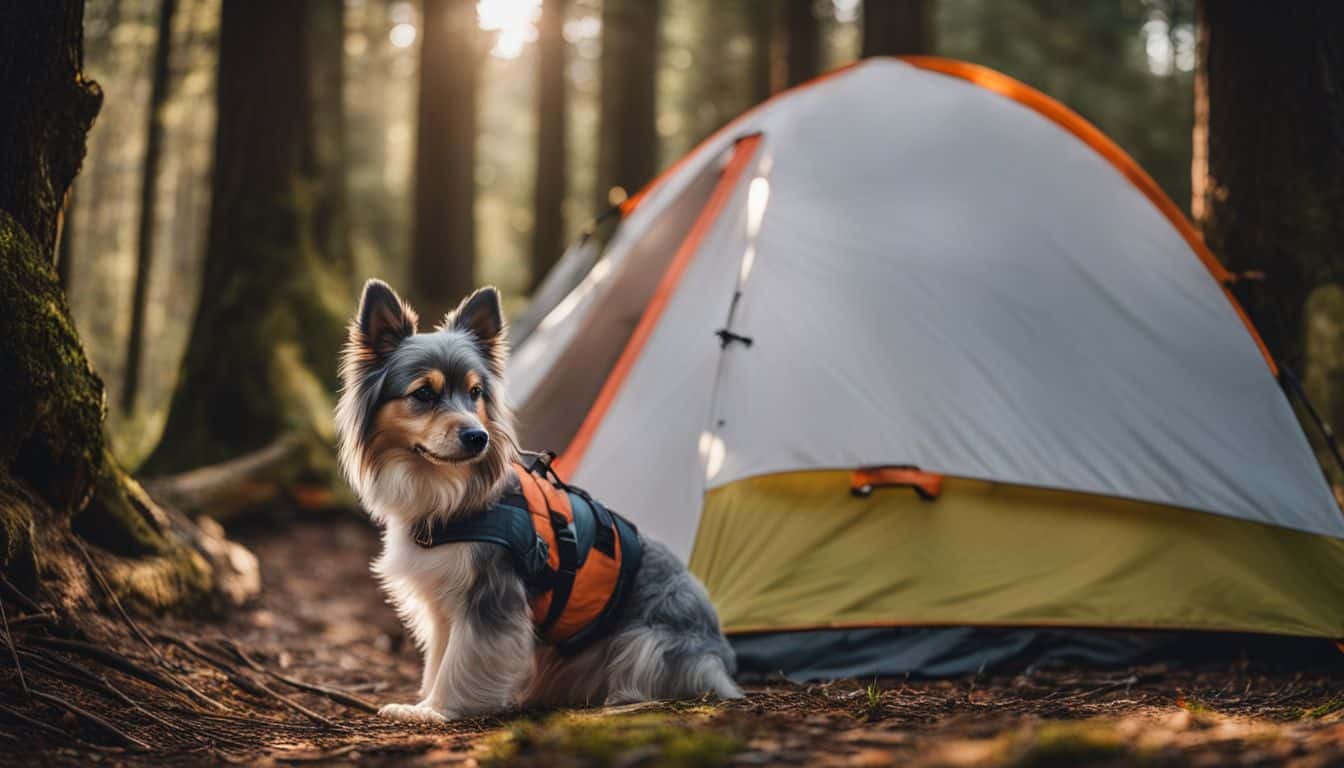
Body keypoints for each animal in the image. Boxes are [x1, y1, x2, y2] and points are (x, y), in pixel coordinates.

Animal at [331, 279, 741, 726]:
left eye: (475, 393)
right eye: (423, 394)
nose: (478, 437)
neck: (446, 491)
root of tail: (721, 662)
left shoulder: (491, 598)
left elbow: (463, 658)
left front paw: (440, 710)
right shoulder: (443, 600)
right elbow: (441, 655)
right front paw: (425, 703)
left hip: (644, 642)